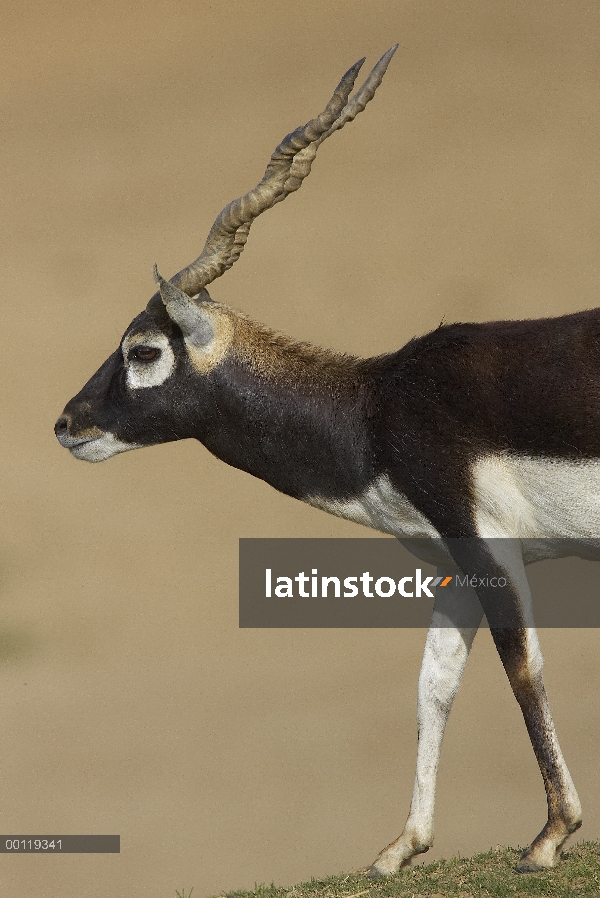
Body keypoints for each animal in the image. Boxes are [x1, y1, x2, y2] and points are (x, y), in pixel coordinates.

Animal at [55, 45, 596, 872]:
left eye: (143, 350)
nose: (68, 423)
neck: (375, 408)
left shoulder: (489, 545)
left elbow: (523, 669)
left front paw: (549, 836)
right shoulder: (452, 566)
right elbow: (432, 686)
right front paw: (401, 848)